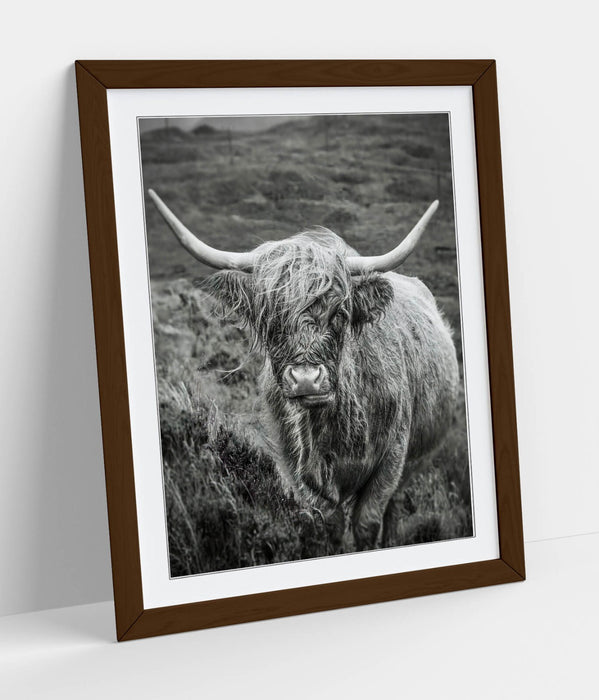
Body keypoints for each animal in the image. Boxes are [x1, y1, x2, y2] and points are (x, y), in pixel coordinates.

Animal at [148, 189, 459, 551]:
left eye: (340, 313)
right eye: (269, 317)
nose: (306, 380)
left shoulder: (393, 457)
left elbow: (368, 521)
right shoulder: (295, 466)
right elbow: (330, 524)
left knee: (395, 508)